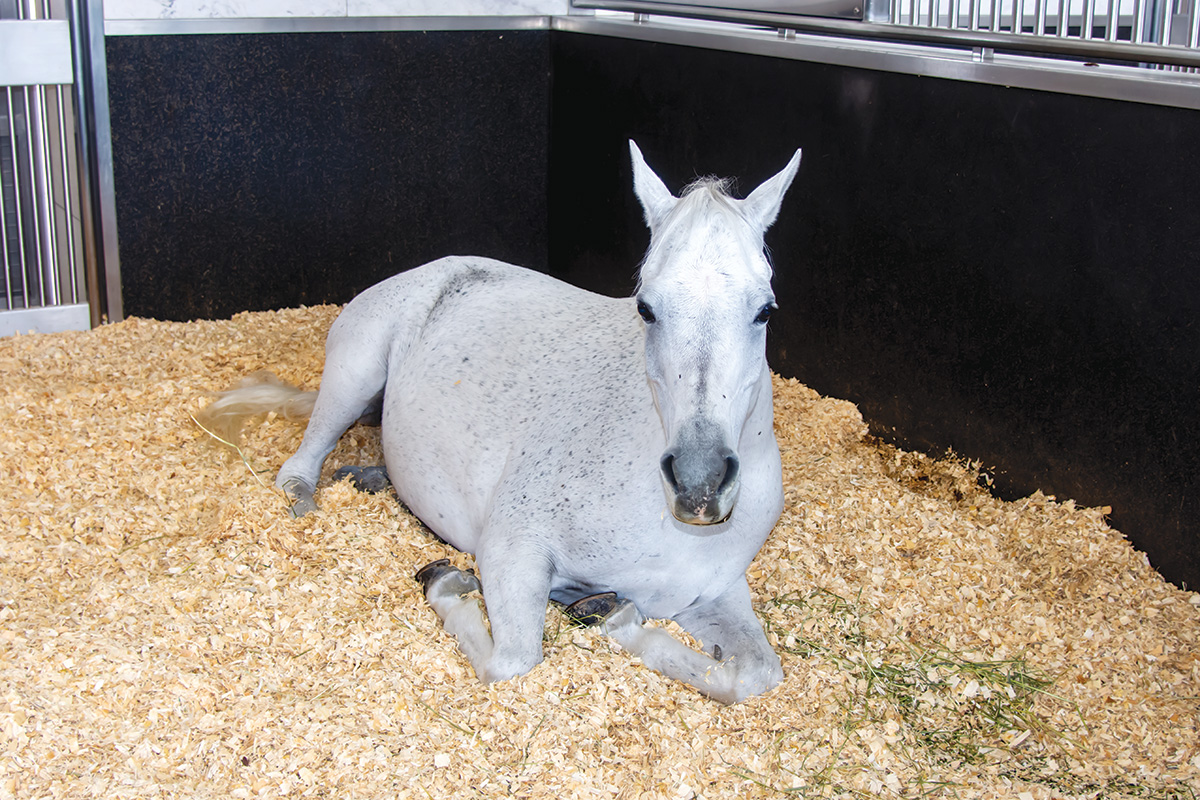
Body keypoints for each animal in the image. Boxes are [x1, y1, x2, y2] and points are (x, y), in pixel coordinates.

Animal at [204, 142, 806, 700]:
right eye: (645, 307)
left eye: (765, 310)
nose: (699, 484)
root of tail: (434, 269)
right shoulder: (512, 552)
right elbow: (510, 662)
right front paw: (447, 581)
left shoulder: (715, 591)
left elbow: (755, 673)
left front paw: (610, 615)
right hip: (353, 375)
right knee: (298, 466)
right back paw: (309, 504)